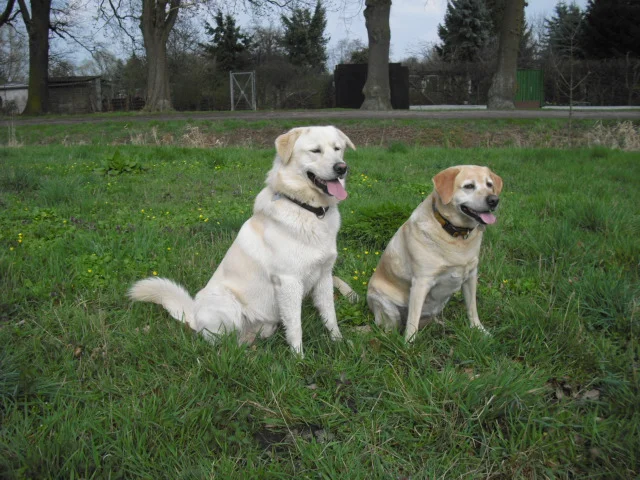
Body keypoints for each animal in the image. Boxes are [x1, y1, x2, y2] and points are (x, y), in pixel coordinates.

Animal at [129, 125, 356, 354]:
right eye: (315, 150)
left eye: (337, 149)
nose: (342, 168)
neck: (308, 209)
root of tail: (193, 314)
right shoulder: (289, 282)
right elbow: (295, 327)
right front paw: (299, 357)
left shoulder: (324, 276)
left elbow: (330, 316)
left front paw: (339, 343)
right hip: (227, 303)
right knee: (219, 341)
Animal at [368, 165, 502, 342]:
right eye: (469, 186)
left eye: (489, 184)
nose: (494, 200)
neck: (455, 235)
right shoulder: (421, 282)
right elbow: (412, 321)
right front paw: (408, 344)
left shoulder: (471, 276)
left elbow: (472, 309)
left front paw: (480, 330)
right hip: (388, 309)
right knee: (392, 326)